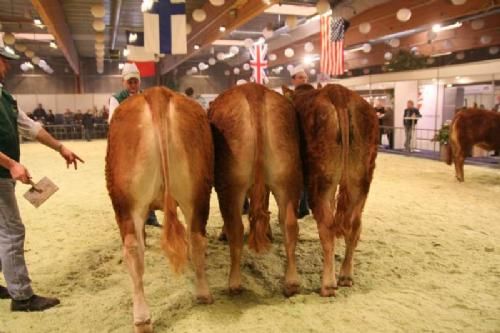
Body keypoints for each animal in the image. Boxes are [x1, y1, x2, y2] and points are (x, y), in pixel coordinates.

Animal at [105, 86, 213, 332]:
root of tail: (157, 93)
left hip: (124, 202)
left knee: (133, 249)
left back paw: (141, 318)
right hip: (197, 192)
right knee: (196, 237)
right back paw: (202, 293)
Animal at [208, 83, 302, 296]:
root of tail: (254, 91)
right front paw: (267, 232)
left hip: (230, 183)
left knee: (235, 227)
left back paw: (234, 283)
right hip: (287, 177)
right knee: (289, 223)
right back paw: (291, 282)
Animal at [284, 83, 376, 296]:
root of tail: (338, 92)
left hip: (322, 181)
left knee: (327, 226)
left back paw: (328, 284)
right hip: (361, 179)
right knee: (355, 225)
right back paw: (346, 276)